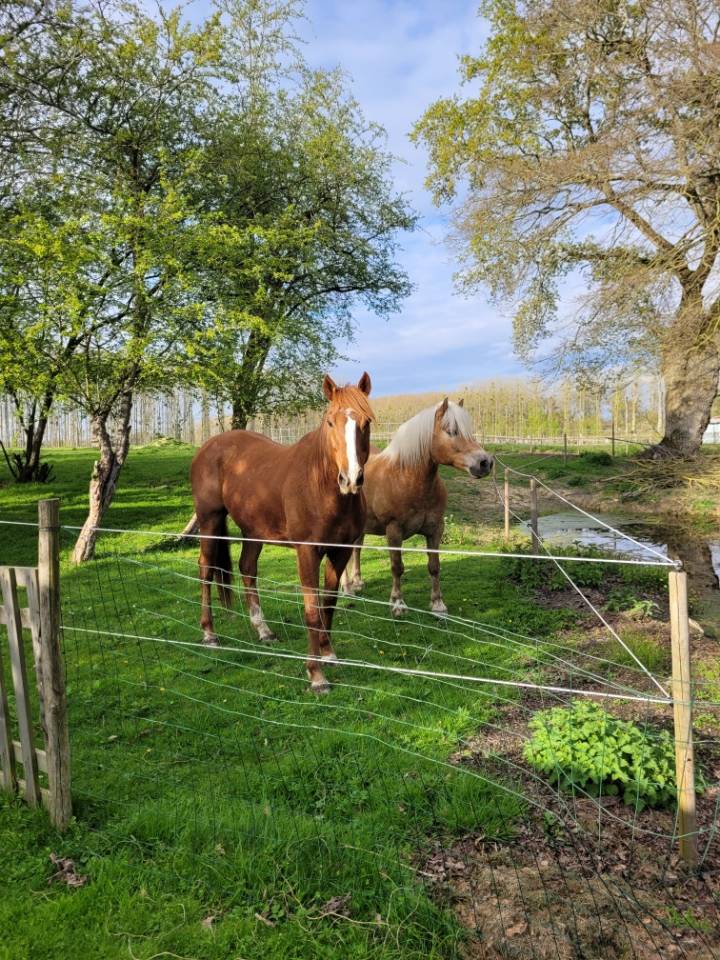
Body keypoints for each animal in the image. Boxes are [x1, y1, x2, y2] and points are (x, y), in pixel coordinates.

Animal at [190, 372, 374, 693]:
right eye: (330, 422)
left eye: (366, 422)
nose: (350, 479)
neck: (321, 486)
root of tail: (208, 446)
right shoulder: (307, 552)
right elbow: (311, 611)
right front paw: (316, 675)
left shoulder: (340, 552)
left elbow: (328, 604)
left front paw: (329, 654)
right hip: (210, 520)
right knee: (206, 569)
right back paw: (209, 634)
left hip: (253, 531)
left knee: (247, 568)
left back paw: (263, 631)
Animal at [341, 398, 493, 616]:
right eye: (451, 431)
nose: (485, 463)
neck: (407, 479)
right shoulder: (393, 530)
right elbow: (397, 567)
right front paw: (397, 604)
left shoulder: (435, 530)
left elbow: (434, 566)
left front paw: (438, 604)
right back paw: (346, 588)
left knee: (356, 549)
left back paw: (357, 583)